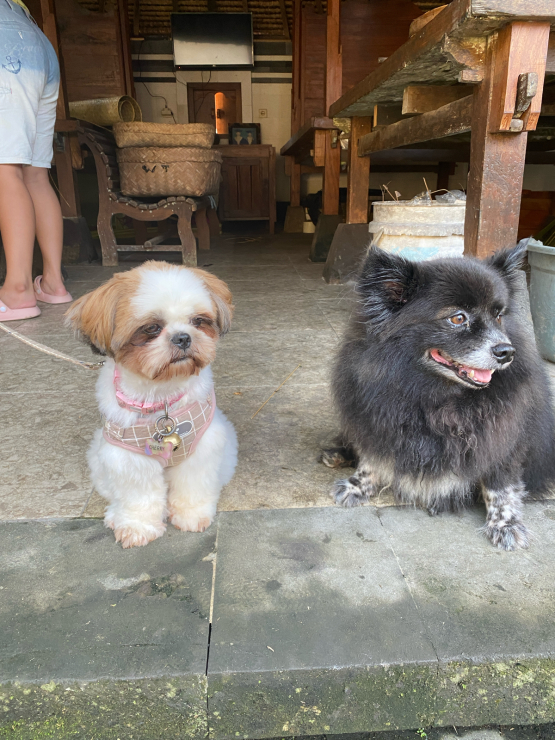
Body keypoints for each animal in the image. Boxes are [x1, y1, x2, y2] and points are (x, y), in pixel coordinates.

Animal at [66, 264, 238, 548]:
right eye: (151, 328)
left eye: (197, 321)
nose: (183, 338)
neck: (161, 396)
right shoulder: (127, 458)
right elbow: (138, 497)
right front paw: (137, 526)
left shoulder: (202, 448)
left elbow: (193, 485)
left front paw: (191, 515)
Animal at [326, 243, 555, 548]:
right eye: (457, 318)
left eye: (498, 315)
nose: (506, 352)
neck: (438, 397)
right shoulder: (379, 421)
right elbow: (371, 458)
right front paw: (357, 485)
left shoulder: (502, 438)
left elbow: (501, 486)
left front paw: (505, 524)